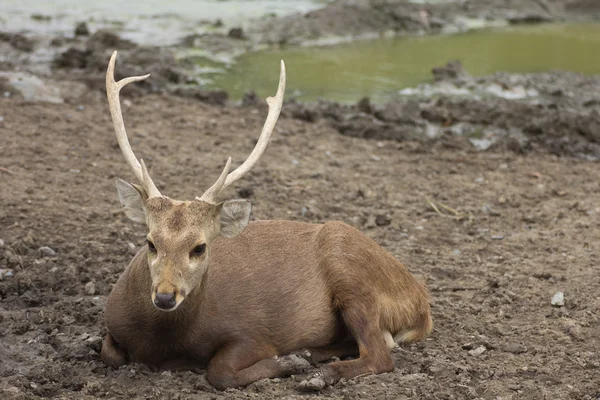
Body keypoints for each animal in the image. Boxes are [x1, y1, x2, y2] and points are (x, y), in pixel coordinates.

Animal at [101, 50, 434, 390]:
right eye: (150, 242)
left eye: (200, 247)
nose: (166, 296)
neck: (163, 344)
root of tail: (421, 302)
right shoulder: (111, 324)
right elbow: (110, 353)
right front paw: (295, 358)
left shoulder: (252, 332)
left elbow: (219, 370)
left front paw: (287, 362)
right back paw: (310, 355)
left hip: (351, 272)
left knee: (380, 353)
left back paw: (318, 373)